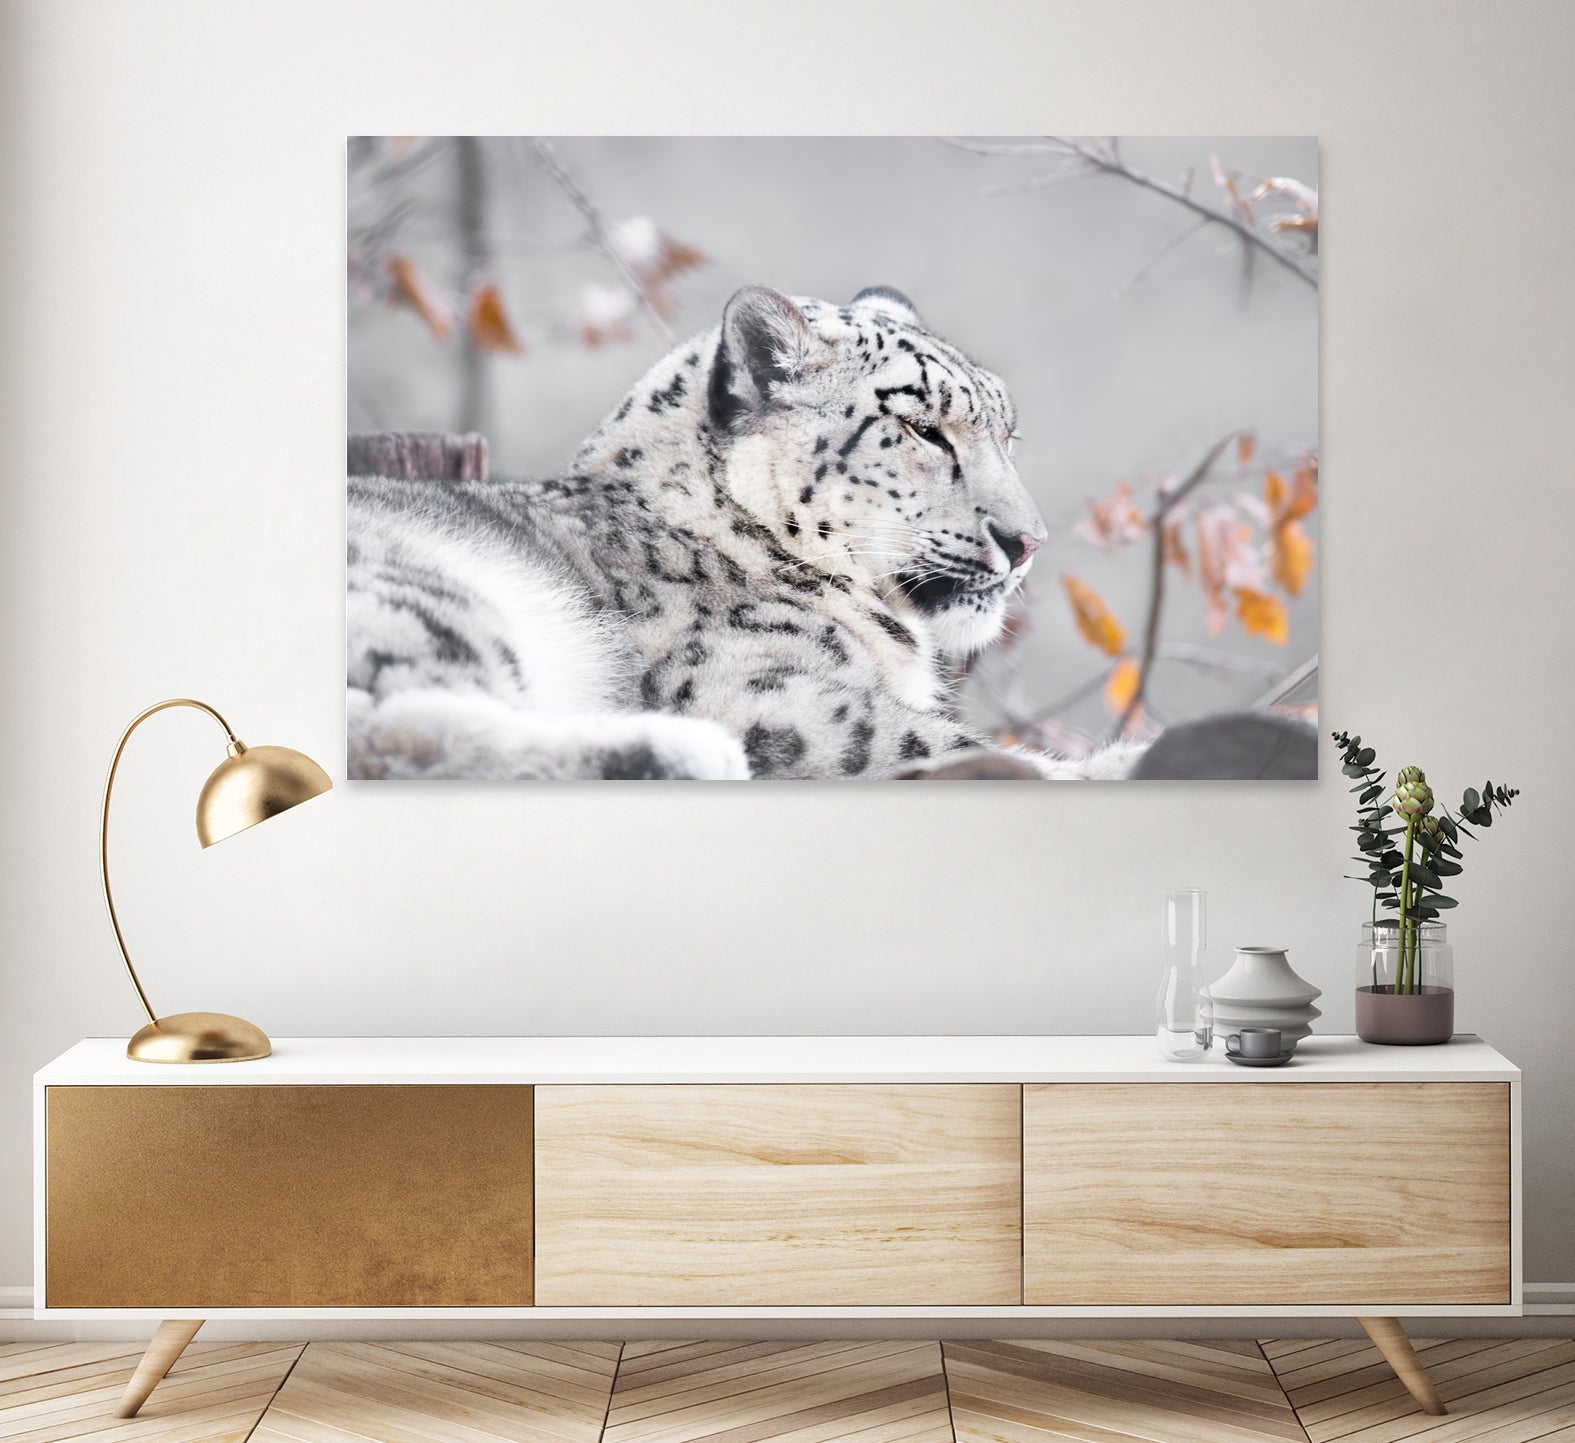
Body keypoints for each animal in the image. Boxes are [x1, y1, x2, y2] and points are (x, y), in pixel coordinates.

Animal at [347, 283, 1146, 780]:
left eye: (1009, 435)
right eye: (923, 427)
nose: (1026, 541)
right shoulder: (769, 695)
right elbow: (910, 737)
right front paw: (1115, 760)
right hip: (429, 592)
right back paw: (683, 752)